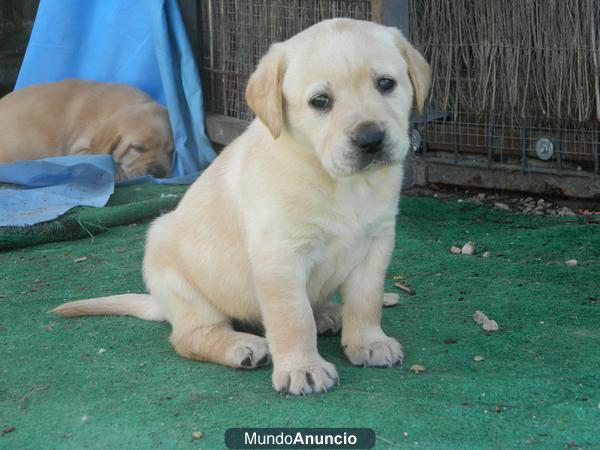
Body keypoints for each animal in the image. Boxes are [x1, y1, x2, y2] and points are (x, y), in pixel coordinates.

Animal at [51, 19, 428, 394]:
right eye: (320, 101)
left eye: (386, 84)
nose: (371, 139)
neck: (339, 181)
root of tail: (161, 304)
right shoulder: (279, 256)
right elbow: (293, 317)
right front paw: (302, 368)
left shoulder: (376, 242)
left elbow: (367, 300)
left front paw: (369, 342)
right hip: (178, 278)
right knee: (189, 336)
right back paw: (241, 345)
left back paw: (327, 313)